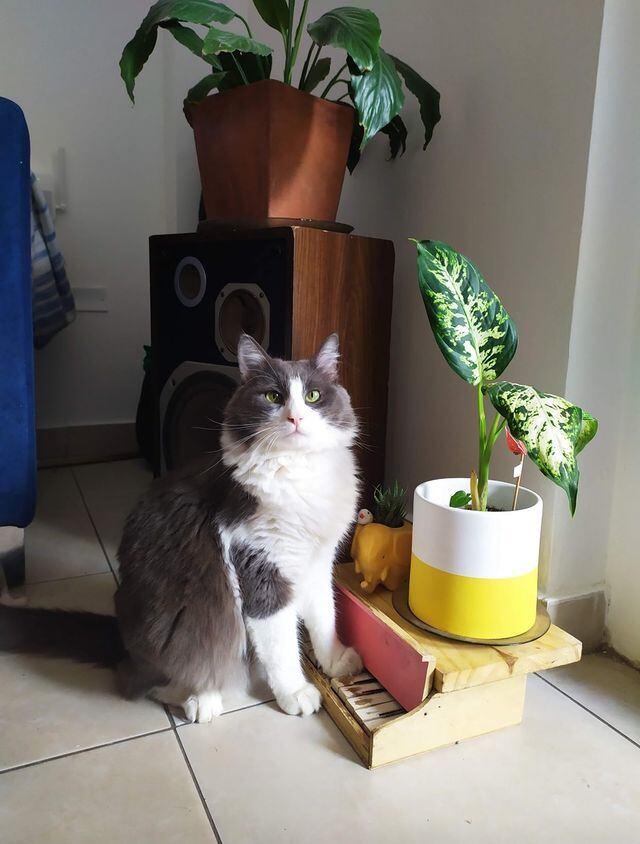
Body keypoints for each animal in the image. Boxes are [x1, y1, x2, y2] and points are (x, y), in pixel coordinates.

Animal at [0, 332, 362, 724]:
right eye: (273, 397)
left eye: (313, 396)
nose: (295, 418)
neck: (298, 472)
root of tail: (123, 641)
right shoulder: (260, 570)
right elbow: (281, 645)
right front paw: (295, 692)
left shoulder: (317, 562)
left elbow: (325, 617)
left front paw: (336, 661)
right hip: (177, 629)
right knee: (150, 682)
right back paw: (202, 699)